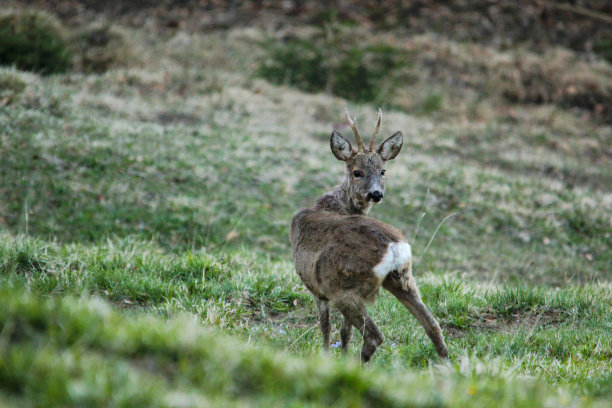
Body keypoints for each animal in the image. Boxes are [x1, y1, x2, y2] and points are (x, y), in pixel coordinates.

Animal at [290, 107, 448, 360]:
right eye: (357, 171)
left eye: (383, 170)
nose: (376, 194)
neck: (332, 204)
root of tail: (395, 248)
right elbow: (344, 332)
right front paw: (340, 357)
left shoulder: (316, 287)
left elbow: (326, 326)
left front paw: (327, 357)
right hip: (403, 278)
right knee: (433, 325)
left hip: (344, 287)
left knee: (374, 336)